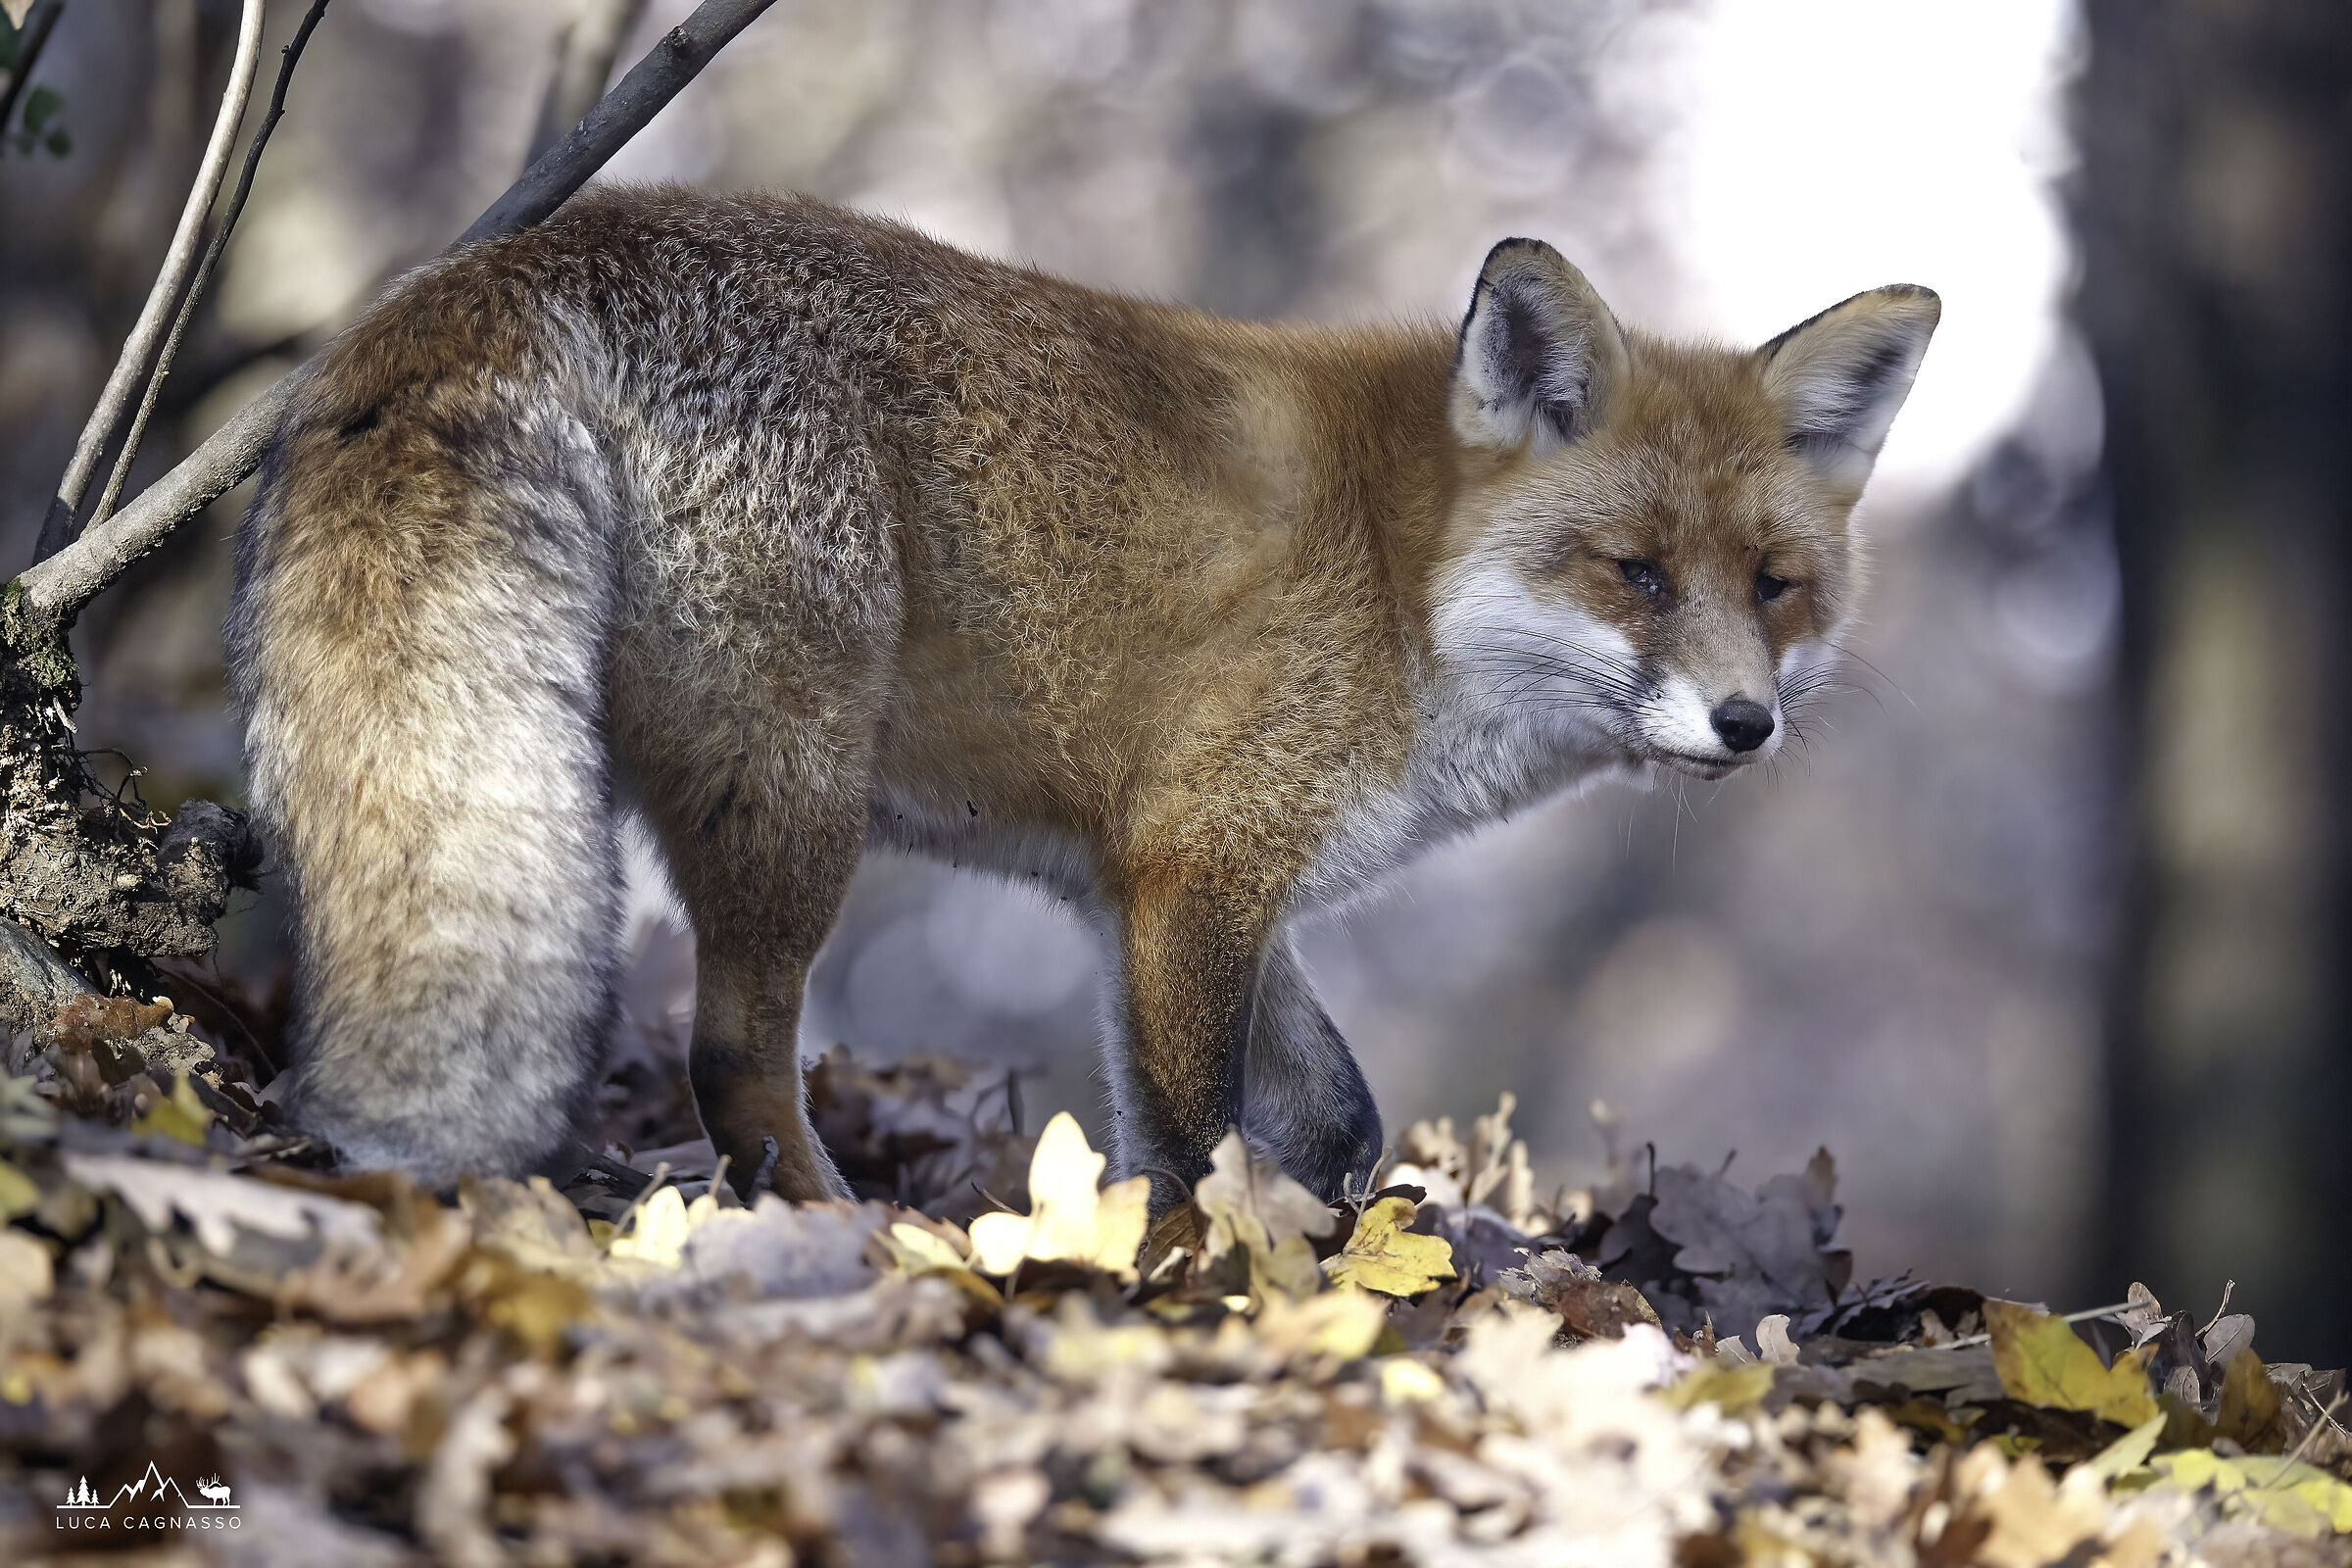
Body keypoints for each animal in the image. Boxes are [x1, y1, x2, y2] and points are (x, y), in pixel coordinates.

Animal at [229, 186, 1935, 1209]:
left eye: (1775, 587)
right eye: (1635, 574)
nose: (1744, 725)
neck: (1401, 579)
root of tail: (536, 244)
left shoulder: (1165, 881)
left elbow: (1336, 1122)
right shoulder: (1201, 870)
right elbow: (1185, 1140)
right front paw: (1184, 1281)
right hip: (792, 801)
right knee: (733, 1058)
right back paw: (855, 1240)